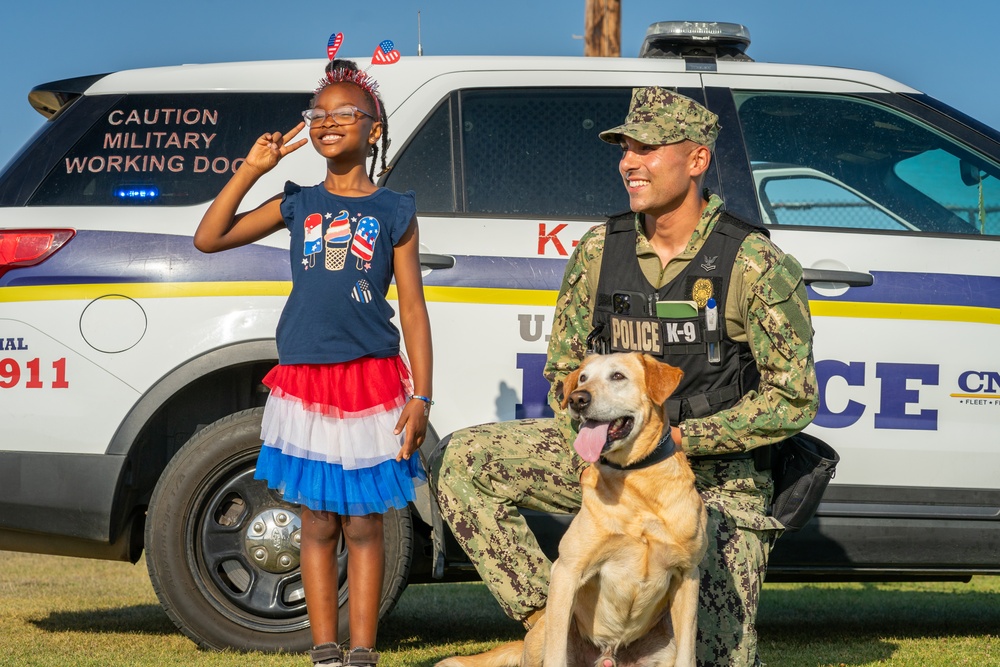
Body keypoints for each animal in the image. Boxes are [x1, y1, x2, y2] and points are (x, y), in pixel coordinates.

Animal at [436, 352, 704, 664]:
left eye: (618, 376)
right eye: (583, 377)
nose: (577, 399)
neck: (637, 482)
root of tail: (609, 656)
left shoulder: (688, 576)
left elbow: (688, 654)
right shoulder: (567, 571)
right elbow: (556, 652)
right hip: (543, 633)